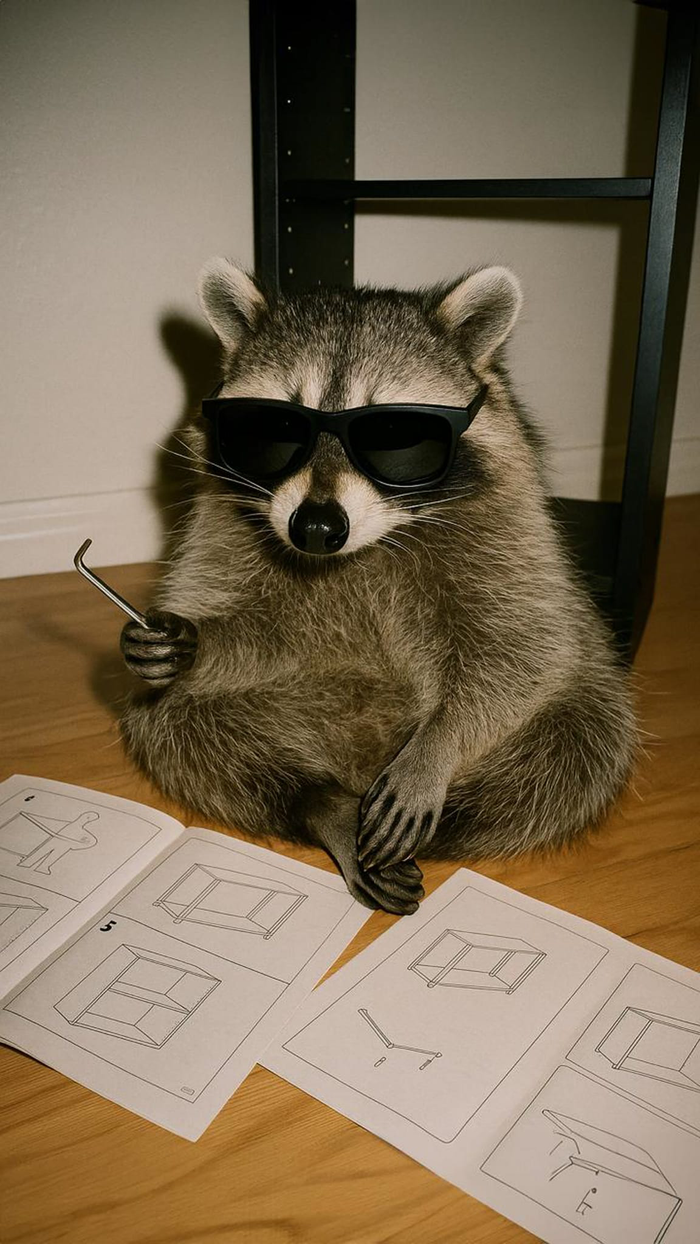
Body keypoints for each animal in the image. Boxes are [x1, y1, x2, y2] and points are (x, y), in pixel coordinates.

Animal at [119, 259, 637, 914]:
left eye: (395, 434)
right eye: (273, 427)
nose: (315, 528)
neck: (365, 547)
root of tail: (359, 762)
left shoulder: (515, 535)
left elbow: (523, 649)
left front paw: (439, 744)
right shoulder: (226, 530)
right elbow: (264, 631)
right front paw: (194, 640)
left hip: (583, 704)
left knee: (578, 745)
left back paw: (446, 813)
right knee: (172, 720)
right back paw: (319, 800)